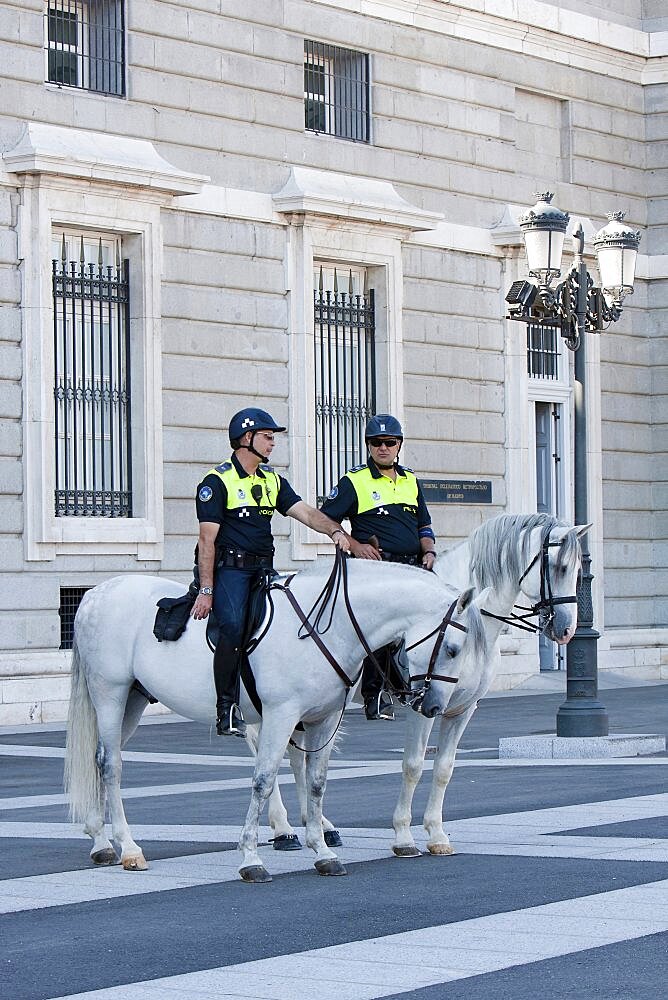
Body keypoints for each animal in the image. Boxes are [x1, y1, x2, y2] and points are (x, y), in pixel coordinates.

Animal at [66, 560, 486, 880]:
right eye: (453, 648)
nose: (434, 707)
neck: (325, 626)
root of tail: (94, 594)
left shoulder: (322, 721)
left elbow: (316, 784)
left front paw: (322, 851)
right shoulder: (281, 715)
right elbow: (264, 781)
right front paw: (251, 858)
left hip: (133, 701)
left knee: (99, 760)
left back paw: (102, 843)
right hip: (110, 693)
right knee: (111, 765)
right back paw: (128, 847)